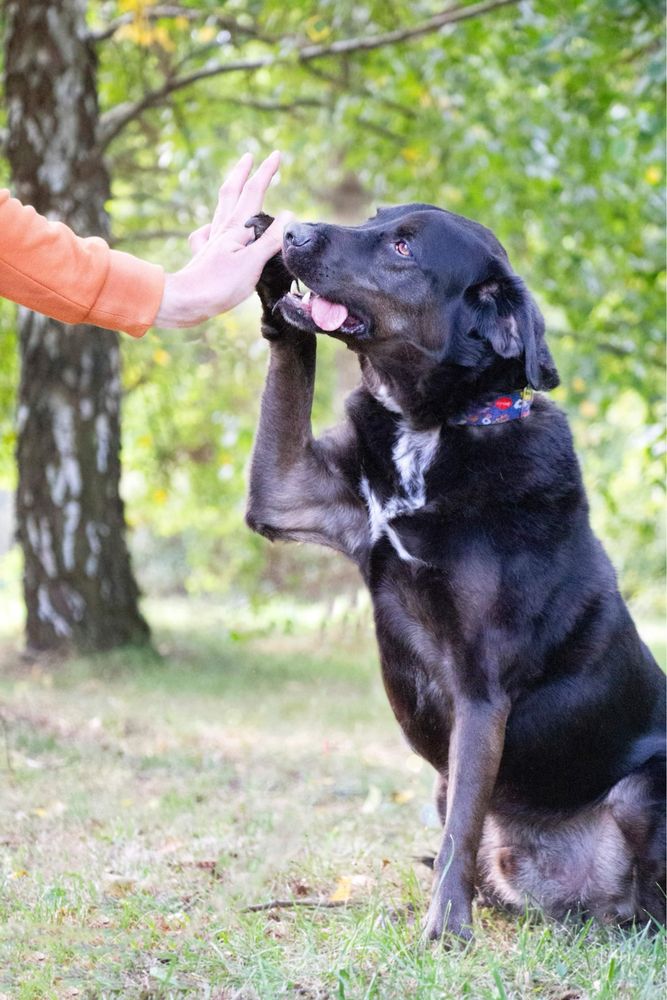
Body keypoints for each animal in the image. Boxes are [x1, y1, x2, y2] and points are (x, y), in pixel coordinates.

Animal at [247, 207, 667, 940]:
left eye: (402, 247)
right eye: (377, 217)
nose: (295, 233)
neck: (435, 430)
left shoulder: (479, 690)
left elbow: (460, 835)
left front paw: (444, 930)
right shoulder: (288, 493)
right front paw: (269, 274)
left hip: (649, 788)